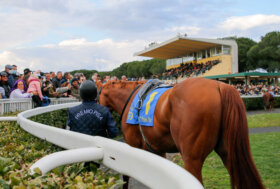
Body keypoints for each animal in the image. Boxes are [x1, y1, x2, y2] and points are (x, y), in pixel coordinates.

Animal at [97, 77, 264, 188]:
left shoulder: (133, 147)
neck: (133, 98)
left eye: (97, 96)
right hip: (229, 152)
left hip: (192, 158)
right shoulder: (157, 149)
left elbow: (126, 174)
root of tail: (219, 86)